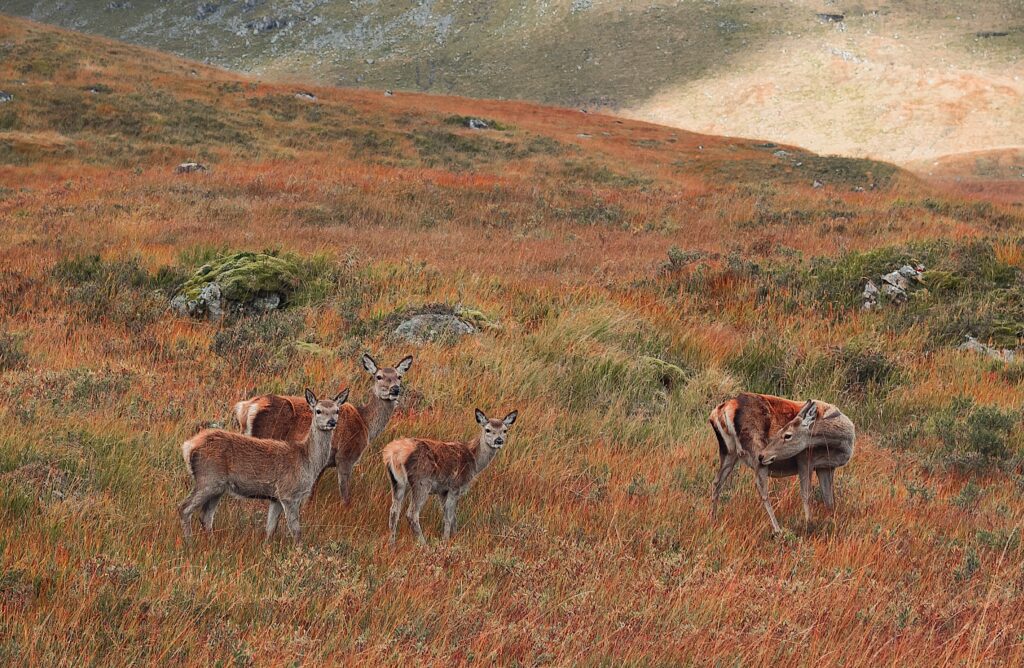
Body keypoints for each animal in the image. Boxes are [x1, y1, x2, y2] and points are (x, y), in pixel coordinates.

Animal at [178, 385, 350, 540]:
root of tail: (188, 446)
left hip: (218, 487)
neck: (307, 460)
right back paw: (189, 542)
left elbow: (270, 529)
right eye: (318, 410)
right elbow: (296, 531)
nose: (332, 422)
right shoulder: (289, 493)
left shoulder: (275, 498)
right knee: (184, 508)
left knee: (206, 517)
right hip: (208, 478)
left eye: (337, 410)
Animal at [232, 352, 411, 504]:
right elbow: (345, 496)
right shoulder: (346, 455)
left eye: (399, 376)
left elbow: (313, 491)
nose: (395, 389)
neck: (365, 423)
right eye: (379, 376)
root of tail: (246, 407)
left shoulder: (323, 463)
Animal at [380, 407, 516, 549]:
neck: (474, 461)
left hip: (397, 482)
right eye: (488, 429)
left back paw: (391, 545)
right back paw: (424, 545)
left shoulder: (442, 491)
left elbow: (450, 516)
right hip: (421, 482)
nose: (499, 441)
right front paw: (446, 541)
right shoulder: (455, 486)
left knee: (394, 511)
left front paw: (454, 537)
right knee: (411, 514)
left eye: (505, 430)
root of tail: (393, 453)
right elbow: (449, 517)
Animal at [708, 393, 851, 536]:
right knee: (761, 489)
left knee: (717, 482)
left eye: (787, 435)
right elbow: (806, 494)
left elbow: (829, 500)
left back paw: (713, 519)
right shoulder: (804, 459)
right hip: (755, 450)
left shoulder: (826, 466)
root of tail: (720, 411)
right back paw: (778, 529)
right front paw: (809, 524)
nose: (762, 455)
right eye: (781, 432)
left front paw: (831, 524)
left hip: (728, 452)